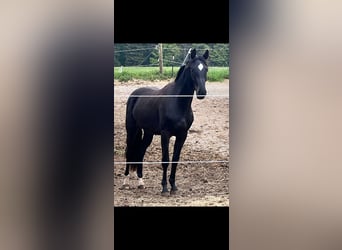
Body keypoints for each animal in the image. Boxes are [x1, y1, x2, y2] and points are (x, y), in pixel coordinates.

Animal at [122, 47, 208, 194]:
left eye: (206, 69)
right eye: (192, 70)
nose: (202, 92)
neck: (178, 103)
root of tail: (134, 94)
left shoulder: (182, 135)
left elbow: (175, 160)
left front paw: (173, 186)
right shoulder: (165, 134)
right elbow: (165, 160)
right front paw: (164, 188)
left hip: (148, 133)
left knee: (140, 151)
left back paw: (141, 182)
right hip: (132, 130)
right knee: (129, 151)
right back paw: (126, 182)